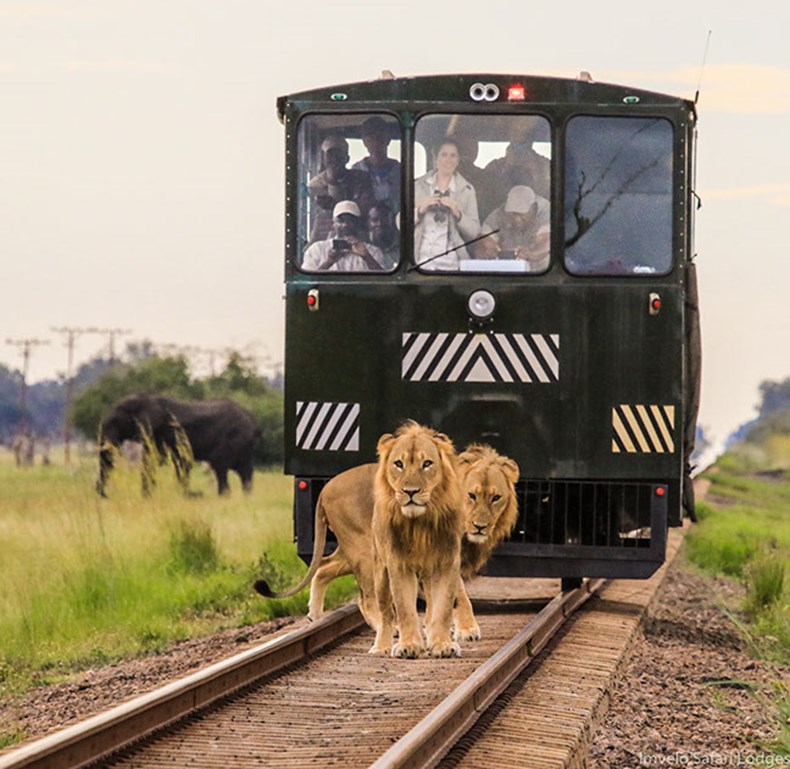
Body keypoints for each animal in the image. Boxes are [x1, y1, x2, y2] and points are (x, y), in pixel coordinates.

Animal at [97, 392, 260, 496]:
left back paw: (224, 496)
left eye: (116, 421)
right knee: (245, 473)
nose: (104, 495)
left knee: (220, 467)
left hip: (234, 439)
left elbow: (168, 462)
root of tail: (252, 420)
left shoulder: (164, 432)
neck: (148, 399)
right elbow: (158, 462)